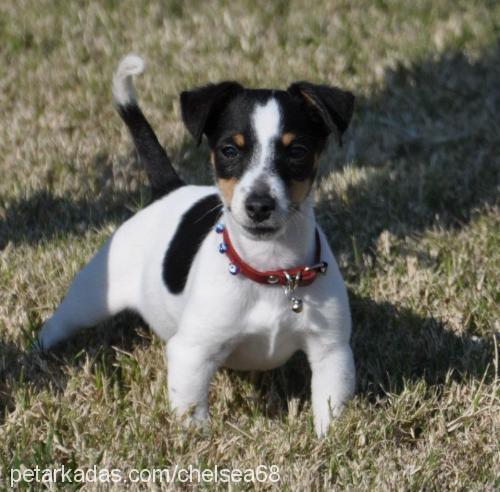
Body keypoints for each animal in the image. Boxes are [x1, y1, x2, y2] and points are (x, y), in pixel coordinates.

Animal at [41, 54, 358, 438]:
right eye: (229, 150)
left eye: (297, 151)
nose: (259, 205)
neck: (270, 271)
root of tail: (169, 189)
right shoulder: (191, 353)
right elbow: (193, 414)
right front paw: (196, 441)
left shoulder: (332, 352)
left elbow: (331, 407)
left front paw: (329, 440)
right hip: (92, 297)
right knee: (59, 322)